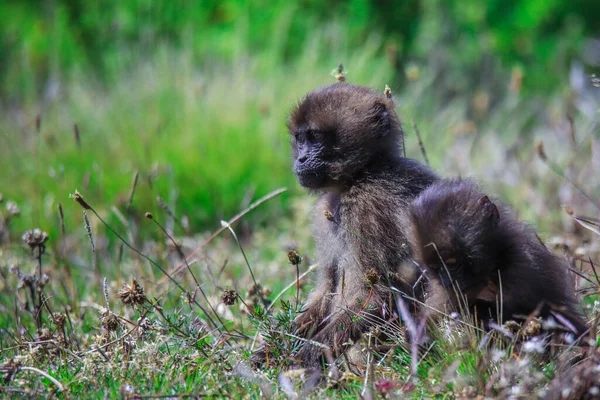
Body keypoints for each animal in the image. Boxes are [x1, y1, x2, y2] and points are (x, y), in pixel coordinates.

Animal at [288, 83, 438, 366]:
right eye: (300, 139)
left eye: (315, 136)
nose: (300, 160)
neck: (362, 174)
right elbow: (327, 288)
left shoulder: (368, 208)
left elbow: (378, 295)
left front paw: (298, 362)